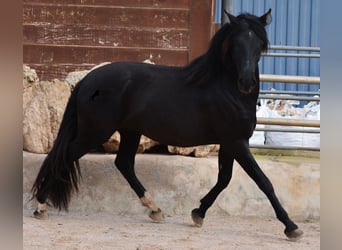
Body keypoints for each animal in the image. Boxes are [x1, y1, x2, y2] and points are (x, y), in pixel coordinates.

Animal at [32, 9, 304, 240]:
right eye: (236, 43)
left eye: (259, 43)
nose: (246, 82)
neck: (225, 88)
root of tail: (87, 81)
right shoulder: (236, 142)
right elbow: (263, 182)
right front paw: (291, 227)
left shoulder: (230, 143)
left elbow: (224, 179)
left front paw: (198, 213)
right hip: (95, 132)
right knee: (64, 157)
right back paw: (41, 206)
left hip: (129, 132)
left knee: (123, 163)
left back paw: (155, 209)